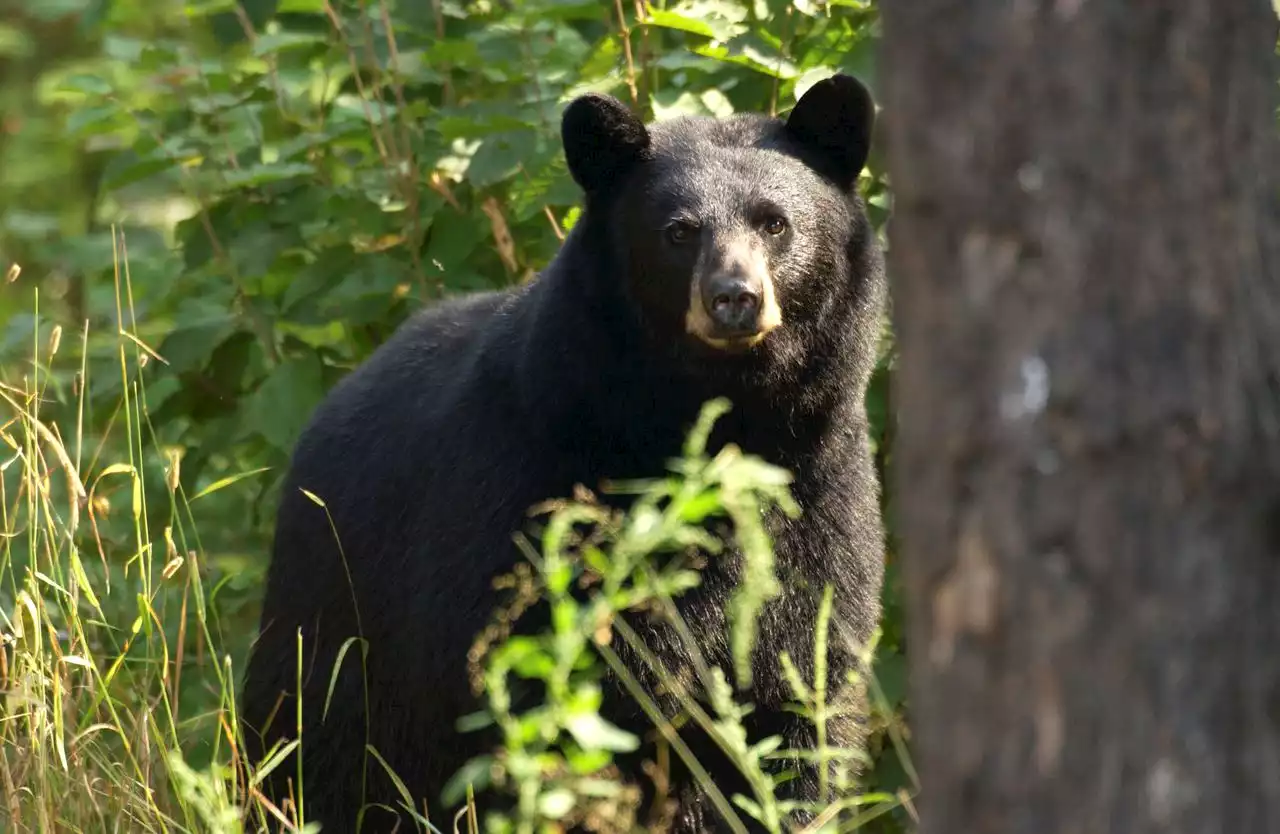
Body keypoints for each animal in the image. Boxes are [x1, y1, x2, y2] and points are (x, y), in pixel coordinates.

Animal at [240, 74, 885, 828]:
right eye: (678, 231)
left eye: (775, 223)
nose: (735, 299)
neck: (713, 424)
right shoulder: (530, 496)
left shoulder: (819, 499)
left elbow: (802, 704)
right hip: (333, 613)